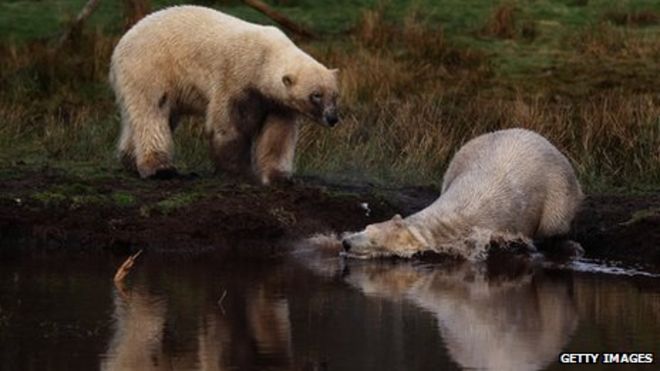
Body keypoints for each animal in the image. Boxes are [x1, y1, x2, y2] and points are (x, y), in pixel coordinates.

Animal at [109, 6, 340, 184]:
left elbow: (278, 134)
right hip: (150, 66)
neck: (264, 57)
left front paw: (280, 177)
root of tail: (120, 44)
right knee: (152, 111)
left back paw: (130, 160)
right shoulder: (235, 77)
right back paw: (160, 169)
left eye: (335, 95)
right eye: (316, 95)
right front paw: (241, 172)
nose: (333, 119)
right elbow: (228, 125)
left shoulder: (277, 102)